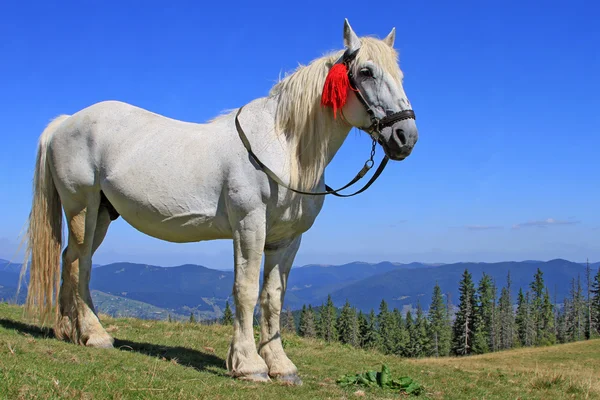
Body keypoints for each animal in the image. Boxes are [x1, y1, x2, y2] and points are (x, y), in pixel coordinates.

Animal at [22, 19, 418, 384]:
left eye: (400, 74)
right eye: (366, 72)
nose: (406, 136)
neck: (281, 146)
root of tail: (65, 122)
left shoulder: (287, 239)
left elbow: (273, 296)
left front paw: (281, 366)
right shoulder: (249, 225)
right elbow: (245, 290)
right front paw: (249, 365)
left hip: (103, 213)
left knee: (72, 259)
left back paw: (68, 330)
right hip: (82, 208)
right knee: (80, 263)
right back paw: (94, 335)